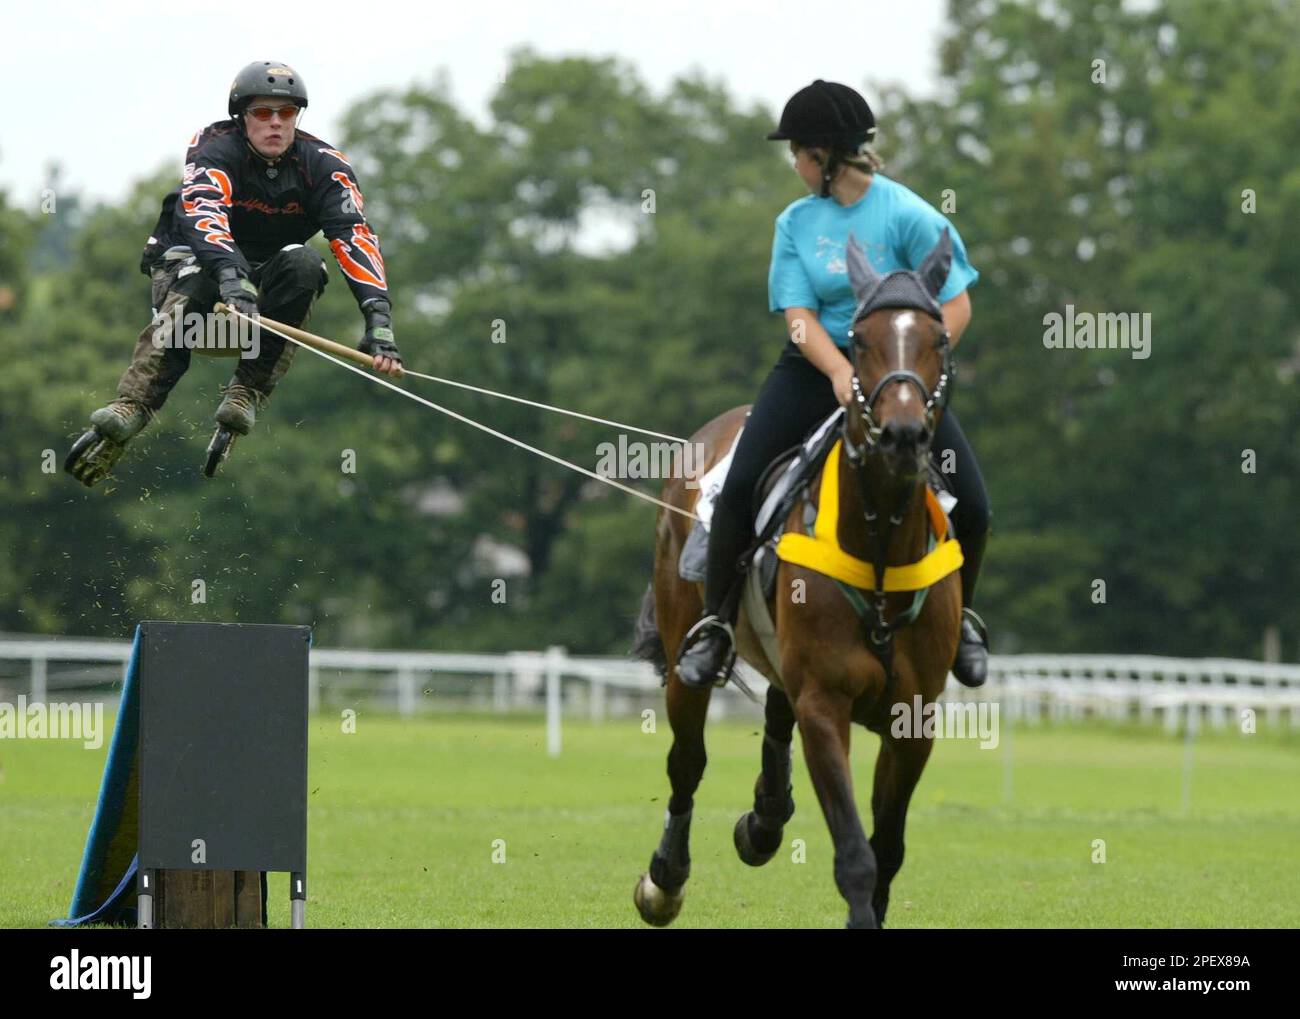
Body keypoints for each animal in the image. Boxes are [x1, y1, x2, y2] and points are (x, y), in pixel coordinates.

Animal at [632, 231, 963, 929]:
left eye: (939, 339)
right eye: (859, 340)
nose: (901, 435)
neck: (880, 543)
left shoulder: (913, 722)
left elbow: (887, 849)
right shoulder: (825, 706)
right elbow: (856, 854)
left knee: (773, 712)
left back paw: (763, 820)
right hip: (684, 653)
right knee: (687, 762)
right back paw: (666, 879)